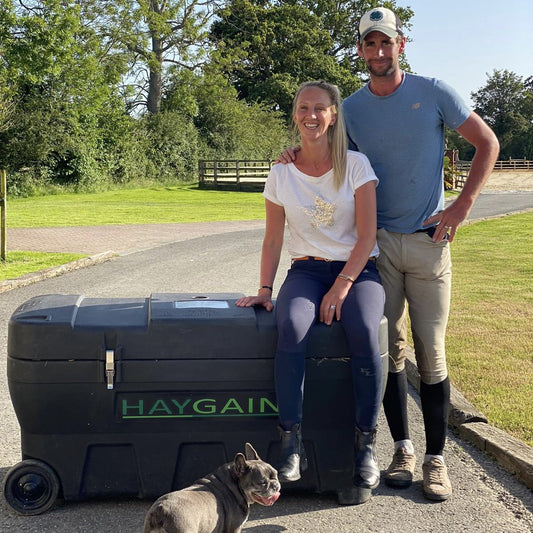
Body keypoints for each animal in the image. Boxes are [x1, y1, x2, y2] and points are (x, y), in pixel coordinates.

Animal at [143, 442, 280, 532]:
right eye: (262, 482)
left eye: (276, 475)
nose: (276, 485)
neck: (235, 485)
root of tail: (161, 510)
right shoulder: (234, 528)